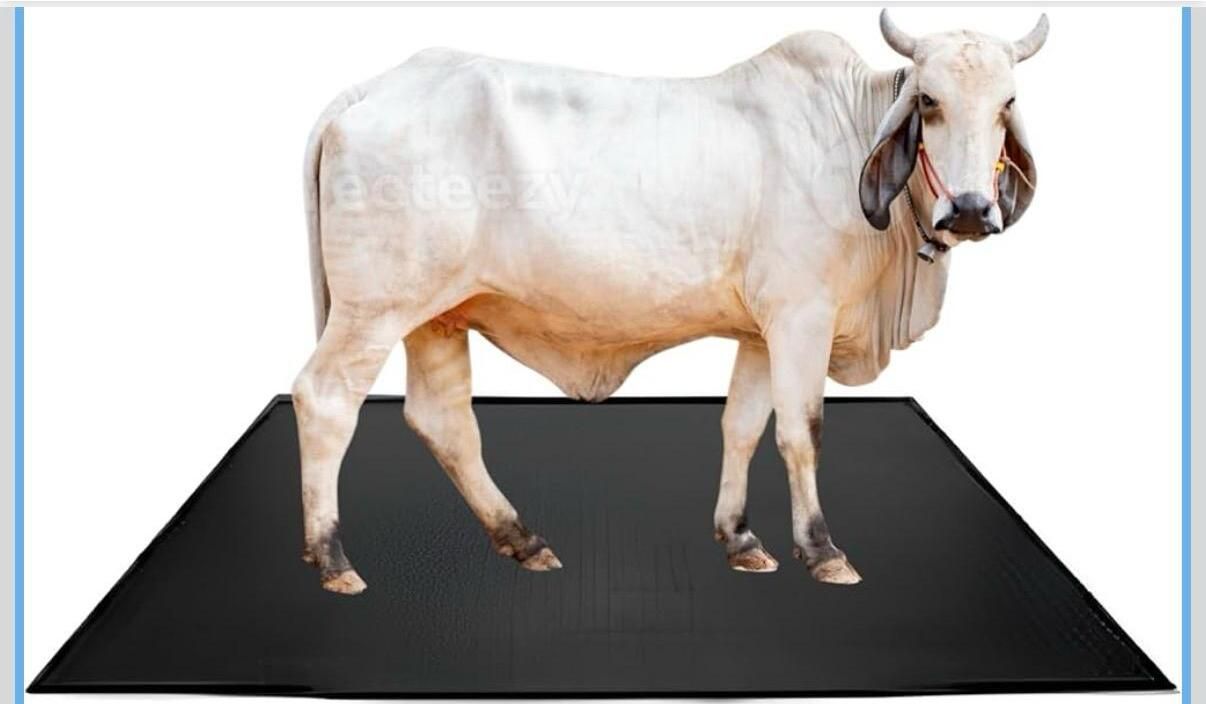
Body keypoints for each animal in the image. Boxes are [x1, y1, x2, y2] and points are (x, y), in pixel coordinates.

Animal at [293, 11, 1046, 594]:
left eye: (1007, 103)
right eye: (929, 100)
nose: (971, 209)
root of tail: (370, 90)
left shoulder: (760, 331)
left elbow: (742, 425)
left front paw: (740, 538)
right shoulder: (802, 316)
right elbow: (800, 432)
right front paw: (822, 550)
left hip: (436, 314)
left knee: (443, 420)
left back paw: (522, 538)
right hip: (372, 309)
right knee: (325, 400)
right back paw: (332, 558)